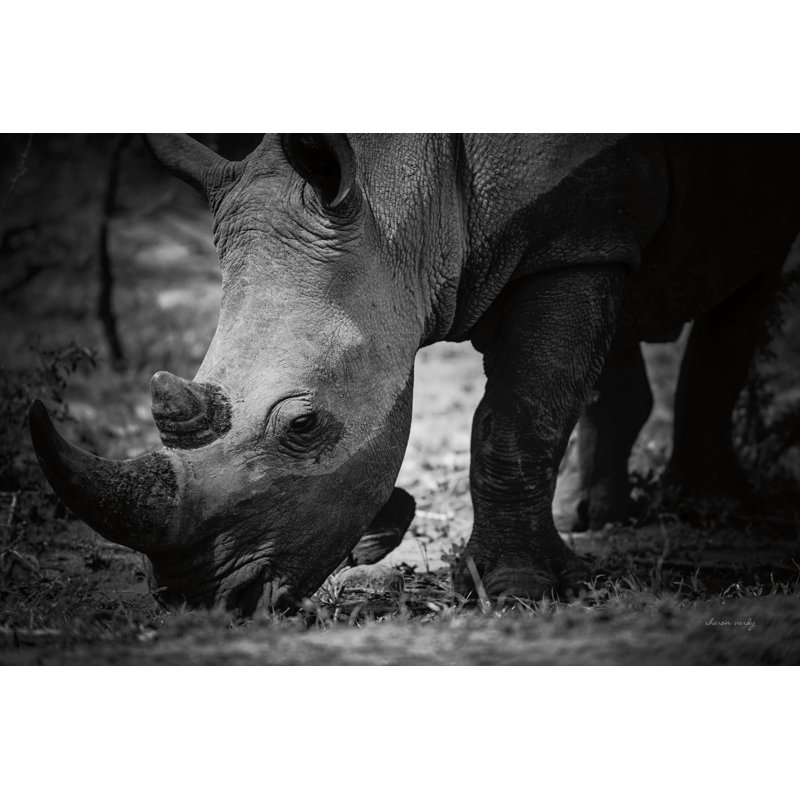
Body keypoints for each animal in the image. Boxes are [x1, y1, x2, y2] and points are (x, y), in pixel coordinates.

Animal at [29, 134, 800, 612]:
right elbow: (542, 394)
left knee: (746, 283)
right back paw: (599, 516)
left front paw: (516, 593)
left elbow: (517, 419)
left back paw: (710, 508)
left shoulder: (572, 240)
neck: (401, 201)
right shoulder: (552, 238)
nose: (204, 602)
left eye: (304, 425)